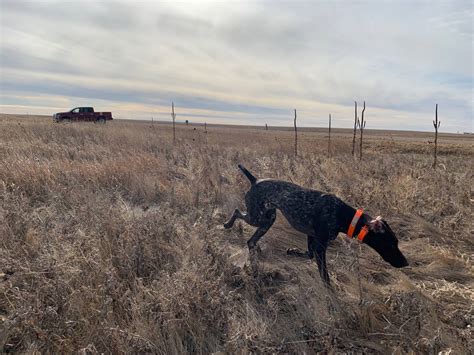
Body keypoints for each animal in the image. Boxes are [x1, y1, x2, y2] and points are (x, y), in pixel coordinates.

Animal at [224, 166, 410, 286]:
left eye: (396, 243)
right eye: (390, 244)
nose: (406, 263)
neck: (342, 214)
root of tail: (255, 180)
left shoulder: (312, 236)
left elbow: (308, 254)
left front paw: (293, 251)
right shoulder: (321, 246)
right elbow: (325, 276)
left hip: (267, 219)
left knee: (251, 241)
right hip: (258, 217)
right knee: (237, 212)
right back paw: (228, 224)